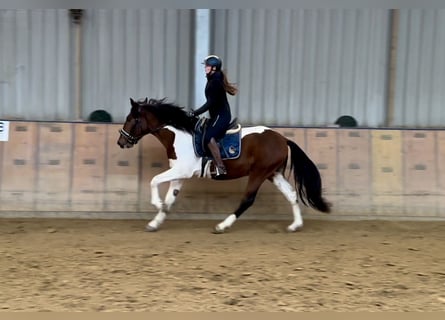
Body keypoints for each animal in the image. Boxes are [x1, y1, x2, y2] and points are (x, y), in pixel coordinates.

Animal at [117, 97, 330, 232]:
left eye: (131, 119)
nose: (121, 142)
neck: (179, 134)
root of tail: (283, 139)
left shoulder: (181, 170)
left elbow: (154, 181)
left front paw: (156, 204)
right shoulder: (179, 174)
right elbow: (170, 199)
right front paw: (155, 222)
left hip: (259, 173)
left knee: (247, 199)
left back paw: (222, 226)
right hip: (273, 173)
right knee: (291, 194)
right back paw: (295, 225)